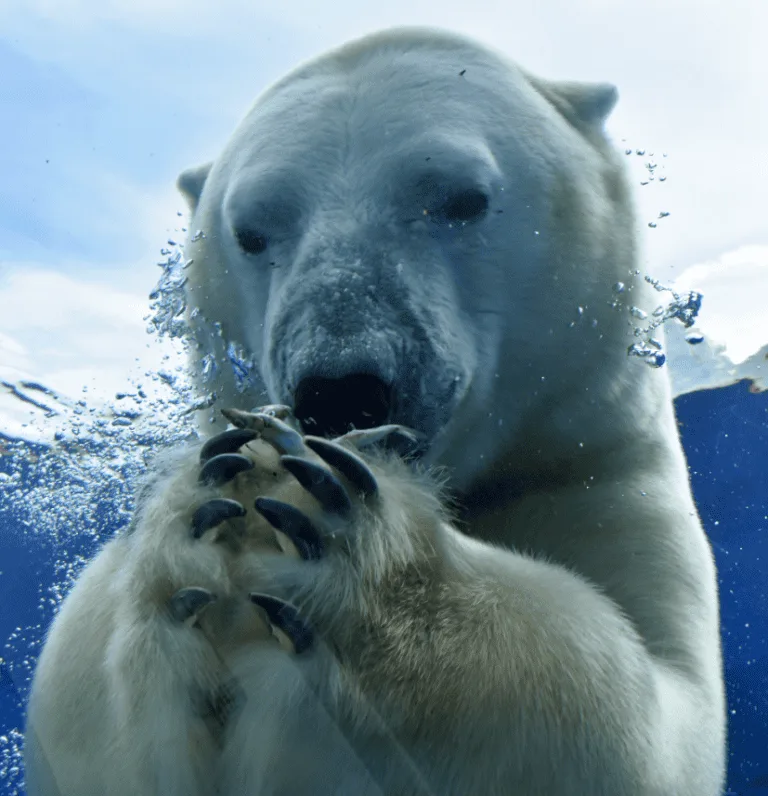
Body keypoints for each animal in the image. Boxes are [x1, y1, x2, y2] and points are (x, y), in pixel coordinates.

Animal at [24, 24, 728, 796]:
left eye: (463, 198)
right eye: (249, 231)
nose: (339, 388)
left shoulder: (591, 468)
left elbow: (656, 719)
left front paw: (347, 540)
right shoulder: (88, 628)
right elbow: (95, 726)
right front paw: (196, 524)